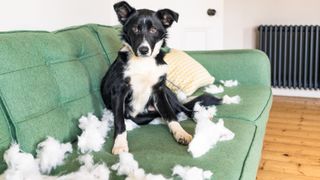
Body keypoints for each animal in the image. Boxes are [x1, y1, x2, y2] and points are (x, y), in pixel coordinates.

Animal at [100, 0, 220, 154]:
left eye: (153, 30)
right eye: (135, 29)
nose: (143, 50)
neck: (144, 63)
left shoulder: (159, 91)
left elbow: (170, 115)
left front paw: (180, 133)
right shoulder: (118, 93)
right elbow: (120, 121)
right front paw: (120, 144)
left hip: (168, 93)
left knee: (183, 109)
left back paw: (199, 115)